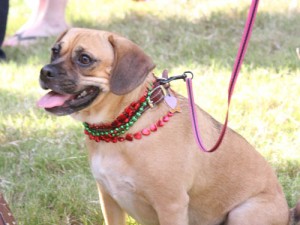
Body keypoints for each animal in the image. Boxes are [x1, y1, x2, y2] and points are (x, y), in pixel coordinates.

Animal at [38, 28, 300, 225]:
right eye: (54, 51)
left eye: (84, 59)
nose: (44, 71)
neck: (120, 131)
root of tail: (286, 214)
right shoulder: (109, 199)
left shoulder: (170, 205)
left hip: (244, 213)